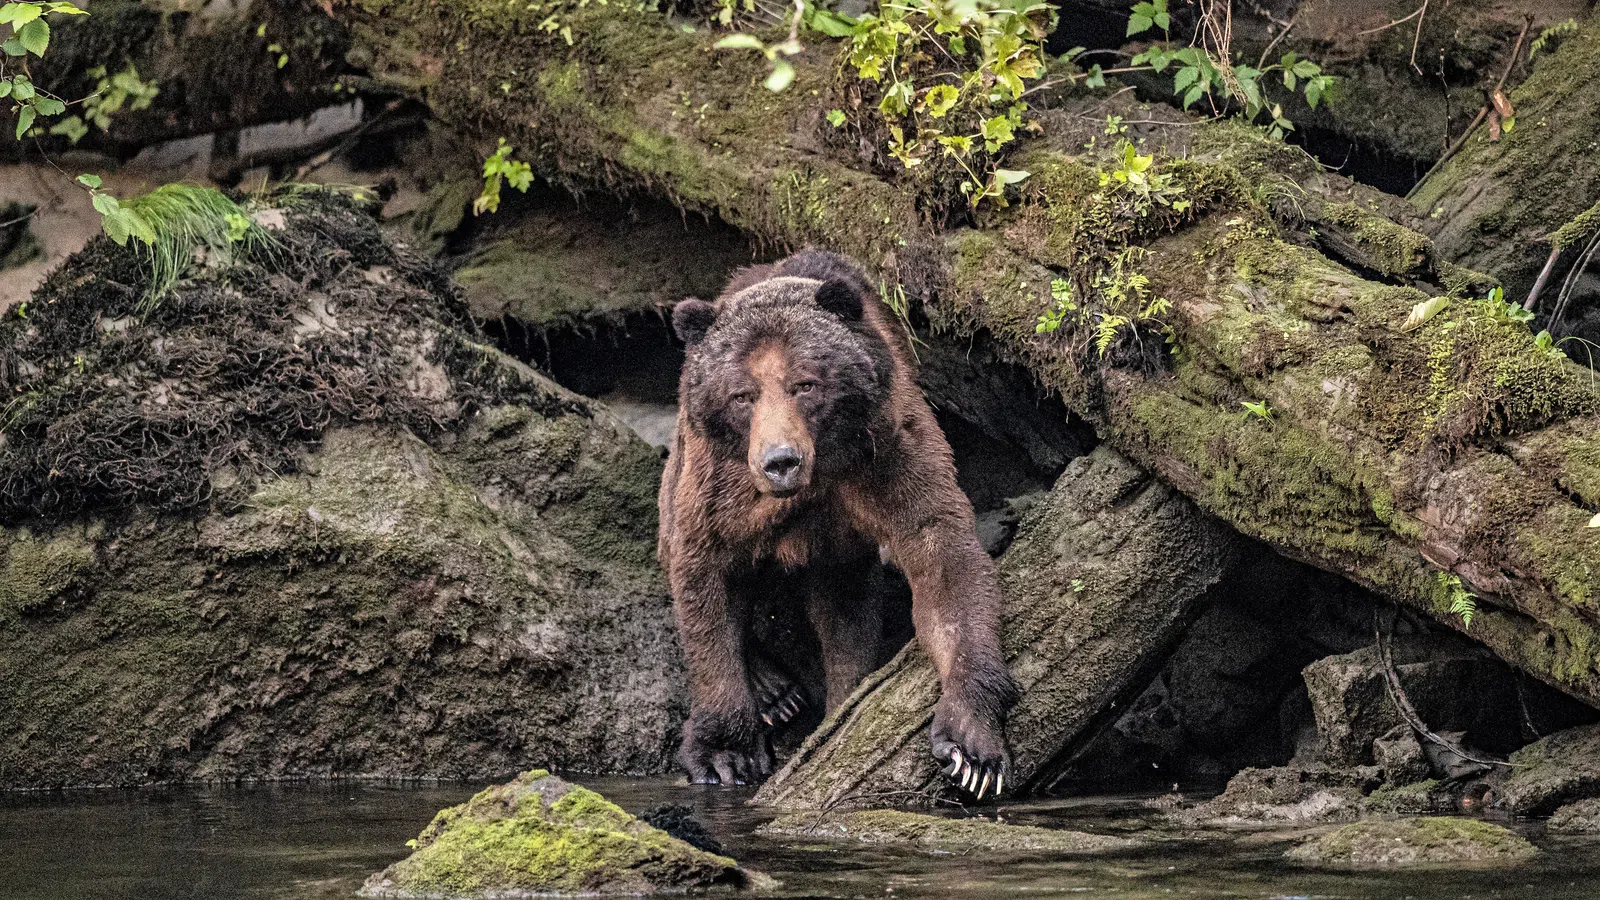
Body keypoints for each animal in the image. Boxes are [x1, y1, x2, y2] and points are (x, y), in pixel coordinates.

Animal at [657, 249, 1017, 798]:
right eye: (742, 395)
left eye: (805, 384)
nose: (780, 461)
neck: (815, 479)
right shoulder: (718, 485)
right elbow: (705, 578)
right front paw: (725, 755)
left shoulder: (885, 453)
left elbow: (943, 559)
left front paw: (972, 749)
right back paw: (773, 691)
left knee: (845, 613)